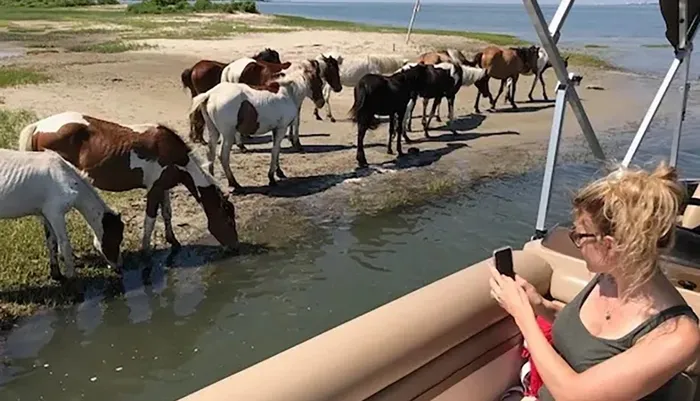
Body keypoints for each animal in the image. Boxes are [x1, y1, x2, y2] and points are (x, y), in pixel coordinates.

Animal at [0, 148, 124, 282]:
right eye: (116, 239)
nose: (119, 266)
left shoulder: (46, 215)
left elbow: (52, 243)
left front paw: (56, 274)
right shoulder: (55, 215)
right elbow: (64, 244)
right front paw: (71, 275)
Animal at [17, 111, 241, 252]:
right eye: (228, 220)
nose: (234, 247)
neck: (174, 156)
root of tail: (39, 126)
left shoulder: (163, 187)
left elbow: (167, 213)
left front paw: (173, 240)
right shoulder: (153, 189)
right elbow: (150, 219)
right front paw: (146, 250)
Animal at [187, 61, 326, 192]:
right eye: (319, 82)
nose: (321, 102)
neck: (287, 93)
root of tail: (210, 94)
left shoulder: (276, 130)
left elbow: (277, 150)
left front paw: (279, 172)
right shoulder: (281, 129)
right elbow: (275, 151)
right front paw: (271, 178)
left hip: (213, 131)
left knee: (210, 153)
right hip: (228, 134)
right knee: (223, 156)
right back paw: (235, 184)